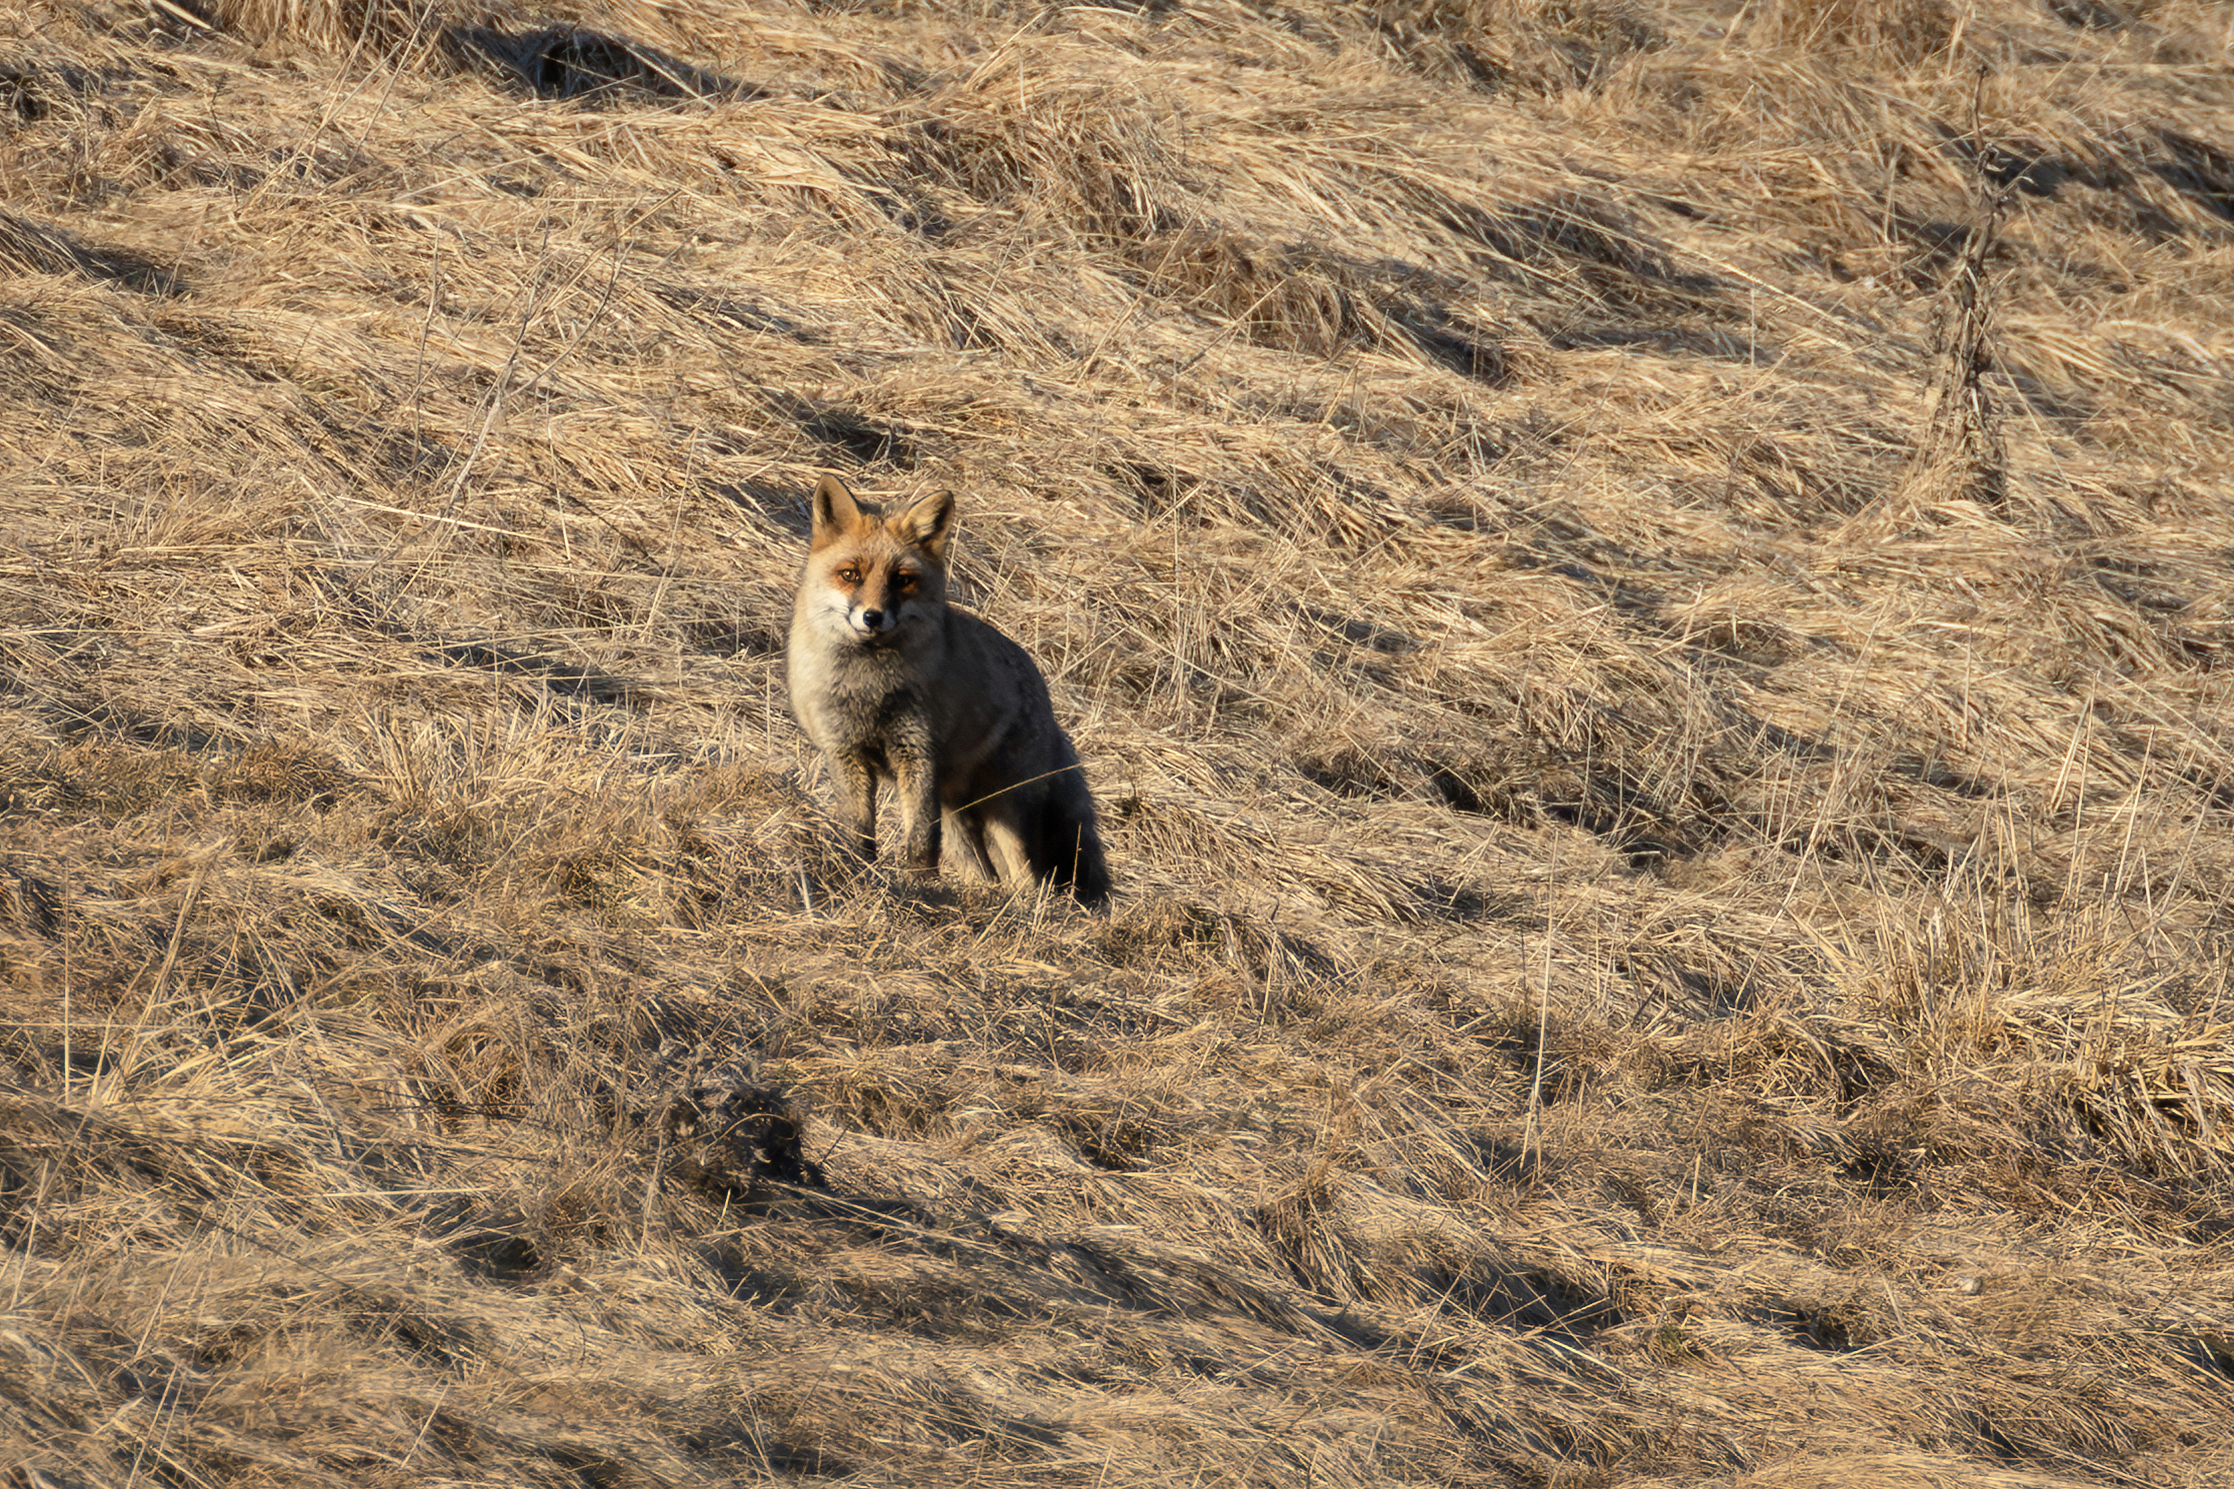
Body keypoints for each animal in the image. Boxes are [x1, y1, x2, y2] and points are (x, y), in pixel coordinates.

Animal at [786, 473, 1113, 907]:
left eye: (902, 580)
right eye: (850, 574)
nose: (872, 616)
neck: (868, 688)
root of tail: (1043, 692)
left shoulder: (918, 751)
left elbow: (921, 841)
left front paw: (919, 887)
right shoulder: (846, 752)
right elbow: (858, 834)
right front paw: (862, 875)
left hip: (1003, 809)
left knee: (1027, 879)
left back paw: (1028, 910)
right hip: (958, 815)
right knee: (985, 874)